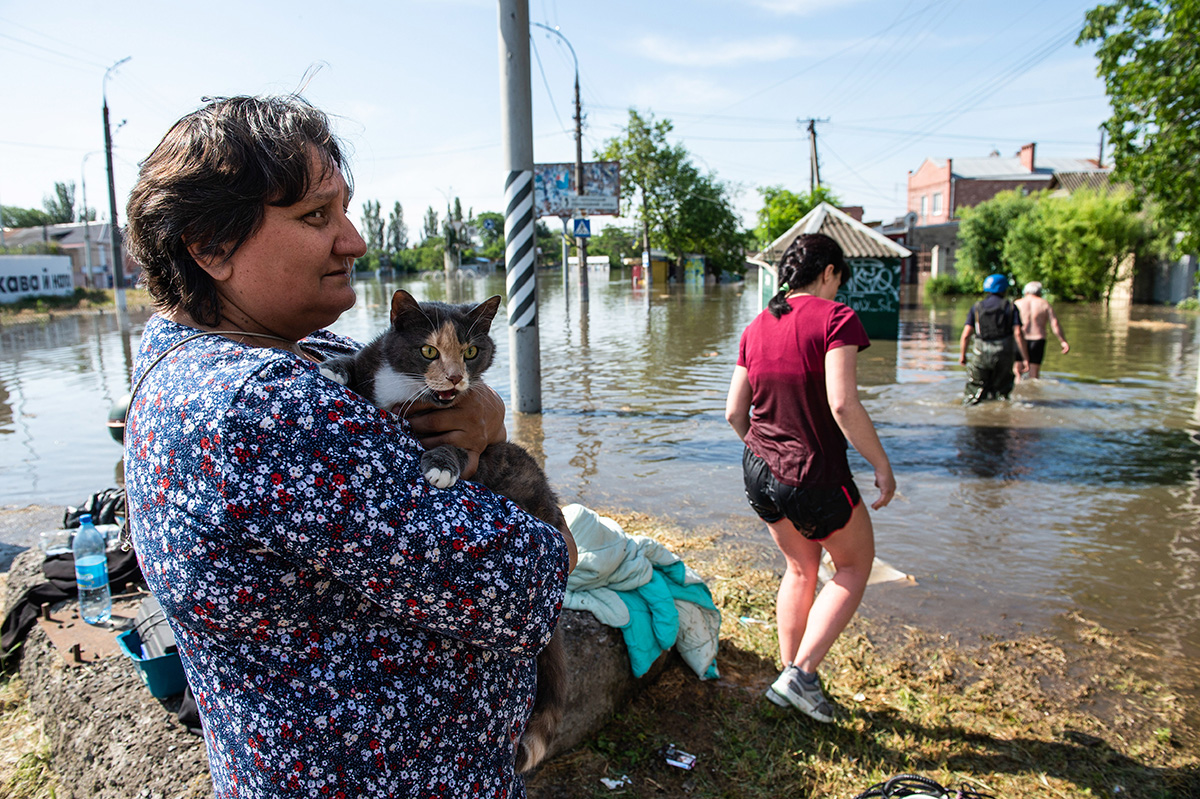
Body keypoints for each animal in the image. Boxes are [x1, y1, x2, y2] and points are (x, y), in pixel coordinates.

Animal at [321, 286, 568, 772]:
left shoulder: (468, 431)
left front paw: (439, 467)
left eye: (471, 352)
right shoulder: (378, 361)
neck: (408, 389)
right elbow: (359, 361)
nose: (455, 380)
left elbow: (459, 448)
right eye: (428, 350)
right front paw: (333, 367)